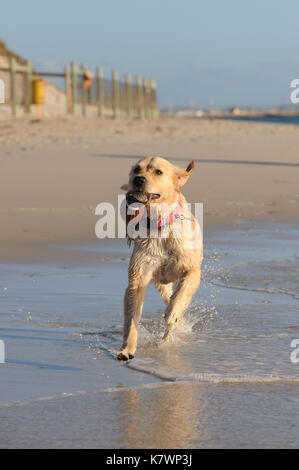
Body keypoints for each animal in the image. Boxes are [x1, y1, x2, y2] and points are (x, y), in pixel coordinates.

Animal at [118, 156, 204, 362]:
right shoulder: (137, 281)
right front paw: (127, 349)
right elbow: (131, 320)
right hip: (161, 284)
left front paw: (173, 312)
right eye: (136, 169)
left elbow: (183, 293)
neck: (159, 226)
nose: (138, 179)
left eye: (158, 172)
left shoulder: (192, 270)